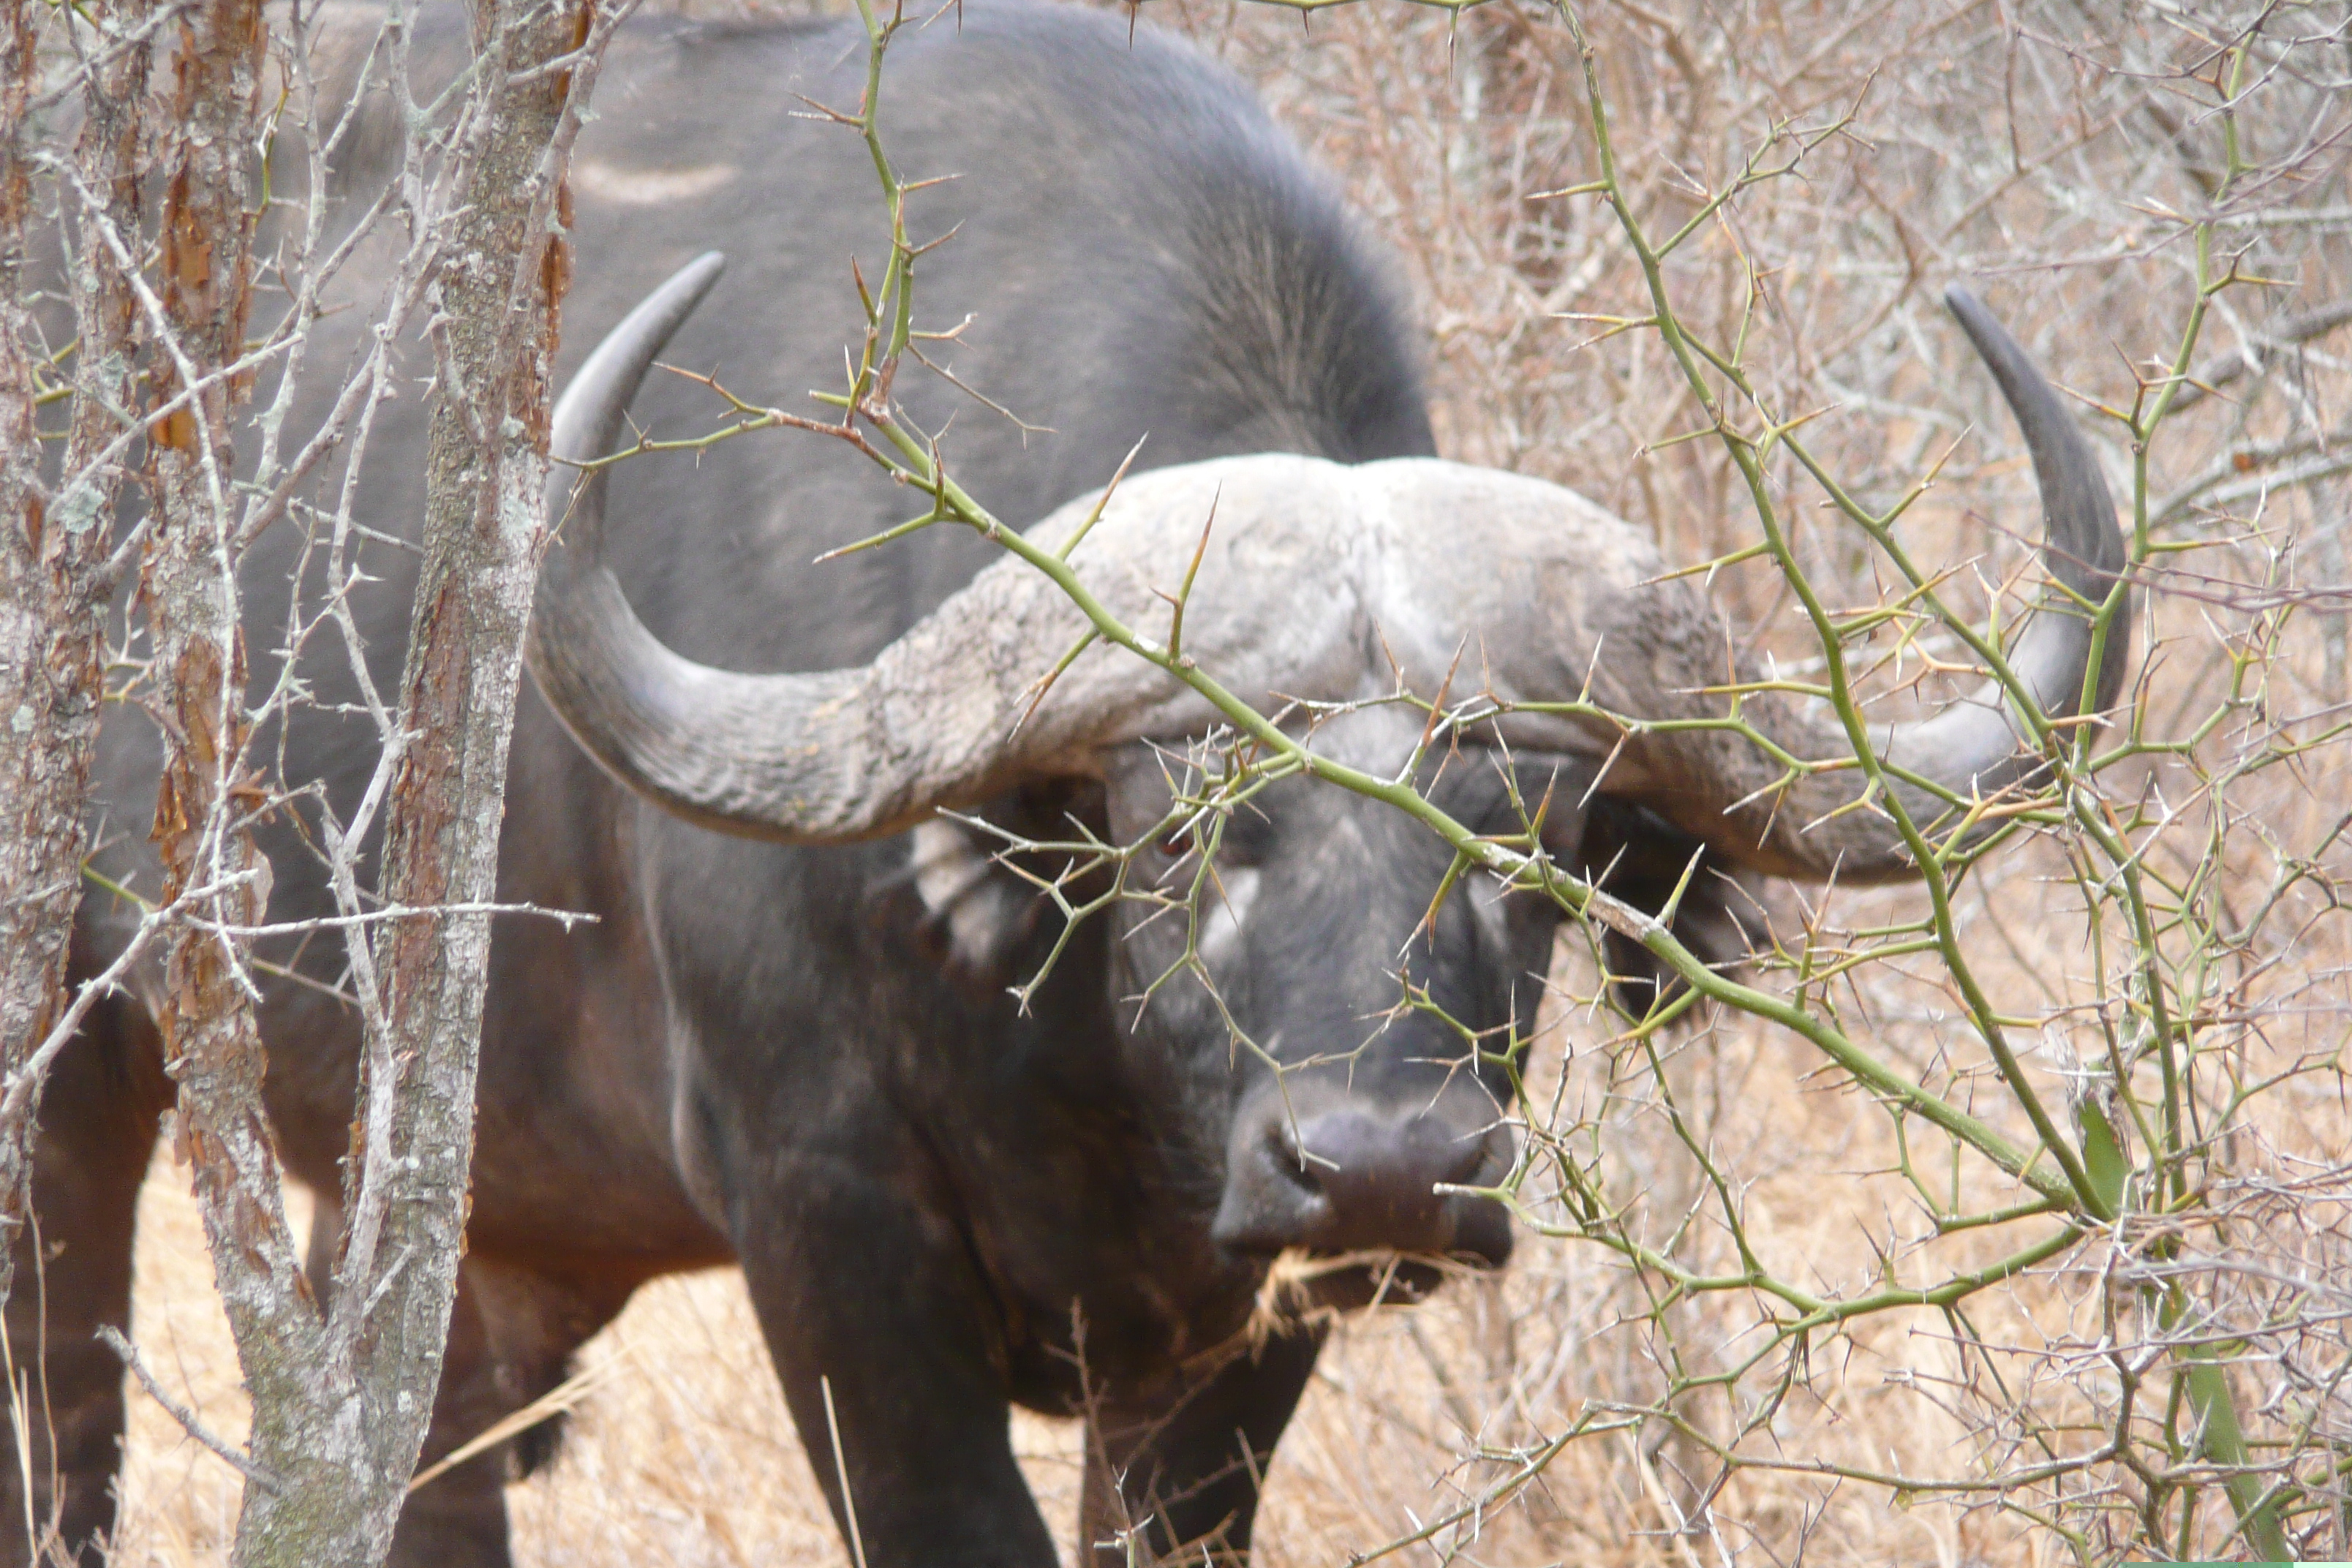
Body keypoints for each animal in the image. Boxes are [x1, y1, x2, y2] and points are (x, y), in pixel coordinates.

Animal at [27, 6, 2136, 1561]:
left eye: (1528, 858)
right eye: (1187, 833)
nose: (1386, 1163)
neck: (1083, 1073)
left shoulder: (1233, 1326)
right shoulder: (832, 1242)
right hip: (78, 1072)